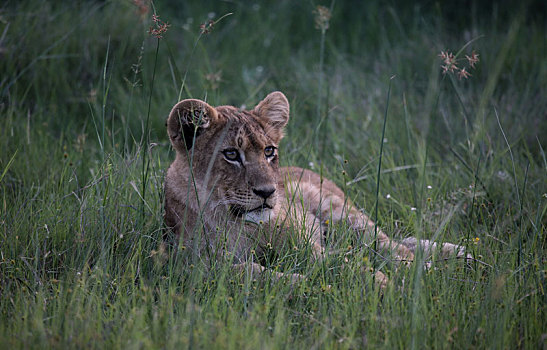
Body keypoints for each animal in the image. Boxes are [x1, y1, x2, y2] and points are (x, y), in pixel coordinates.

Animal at [164, 91, 470, 286]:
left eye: (268, 151)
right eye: (230, 154)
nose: (268, 192)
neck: (238, 223)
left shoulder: (306, 243)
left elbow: (338, 263)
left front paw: (380, 283)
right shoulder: (194, 267)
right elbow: (249, 272)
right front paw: (301, 284)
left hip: (341, 214)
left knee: (392, 246)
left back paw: (438, 265)